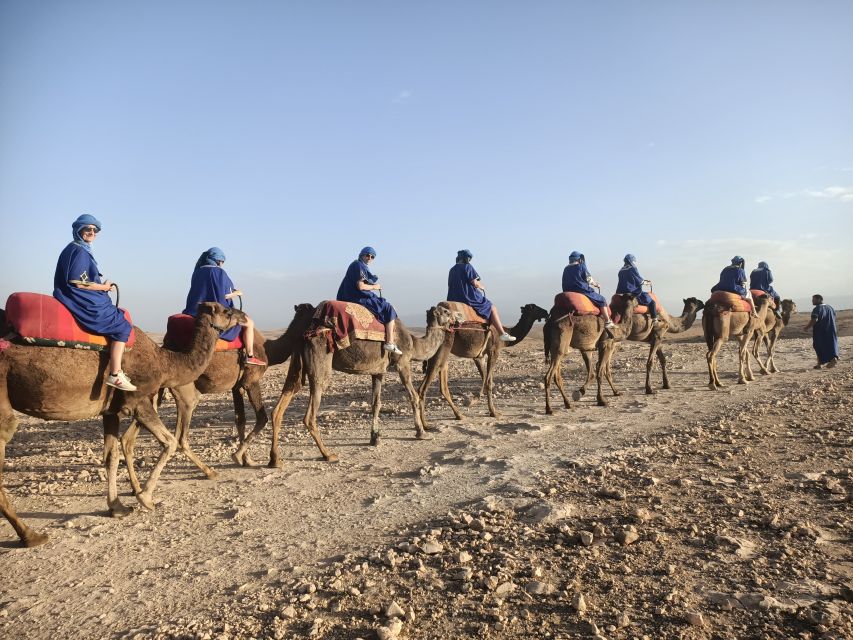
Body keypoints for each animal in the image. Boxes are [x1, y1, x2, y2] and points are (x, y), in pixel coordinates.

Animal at [0, 302, 246, 548]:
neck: (164, 362)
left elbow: (111, 455)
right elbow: (169, 442)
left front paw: (117, 507)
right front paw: (145, 498)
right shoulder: (138, 400)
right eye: (227, 311)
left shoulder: (110, 410)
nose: (243, 316)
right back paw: (31, 535)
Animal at [120, 302, 316, 492]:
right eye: (314, 313)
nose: (319, 327)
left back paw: (136, 488)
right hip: (185, 393)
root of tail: (165, 347)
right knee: (180, 437)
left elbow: (240, 419)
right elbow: (262, 418)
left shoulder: (237, 386)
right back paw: (207, 472)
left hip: (153, 392)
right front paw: (242, 456)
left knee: (130, 437)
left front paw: (247, 459)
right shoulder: (251, 381)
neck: (269, 350)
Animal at [268, 304, 456, 464]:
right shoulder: (403, 362)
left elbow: (376, 404)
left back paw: (275, 460)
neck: (414, 343)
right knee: (311, 411)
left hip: (297, 361)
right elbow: (413, 396)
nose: (457, 319)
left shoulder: (378, 372)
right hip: (320, 358)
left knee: (284, 399)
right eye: (446, 312)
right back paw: (328, 454)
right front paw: (421, 432)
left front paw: (375, 438)